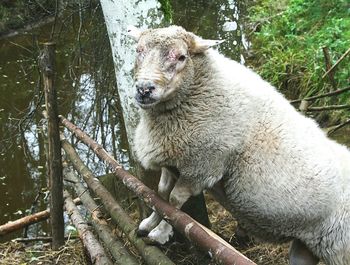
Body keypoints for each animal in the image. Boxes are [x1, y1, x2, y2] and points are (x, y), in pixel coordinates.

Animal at [127, 25, 350, 264]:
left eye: (181, 57)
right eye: (138, 50)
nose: (144, 89)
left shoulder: (202, 167)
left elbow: (174, 202)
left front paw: (159, 233)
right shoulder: (174, 161)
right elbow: (160, 195)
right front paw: (147, 225)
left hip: (340, 250)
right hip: (305, 247)